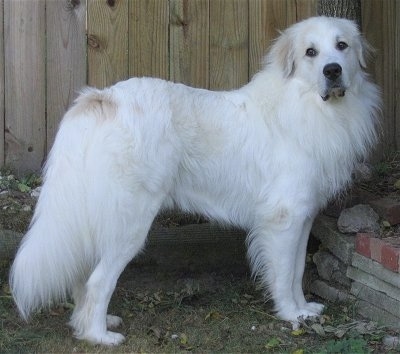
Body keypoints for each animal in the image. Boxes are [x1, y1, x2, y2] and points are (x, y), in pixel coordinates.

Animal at [10, 17, 382, 346]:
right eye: (310, 52)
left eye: (341, 46)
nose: (332, 71)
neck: (307, 104)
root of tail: (102, 97)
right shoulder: (284, 219)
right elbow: (284, 273)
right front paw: (290, 315)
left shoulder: (302, 219)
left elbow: (296, 271)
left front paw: (305, 310)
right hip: (129, 224)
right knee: (99, 281)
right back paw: (99, 335)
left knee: (84, 277)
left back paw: (89, 323)